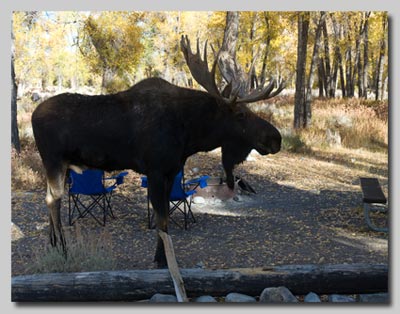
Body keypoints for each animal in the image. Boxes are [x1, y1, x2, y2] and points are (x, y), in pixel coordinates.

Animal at [31, 36, 282, 268]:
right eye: (241, 114)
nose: (276, 139)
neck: (190, 134)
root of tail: (33, 115)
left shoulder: (171, 172)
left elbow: (167, 217)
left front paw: (161, 255)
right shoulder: (155, 170)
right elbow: (161, 219)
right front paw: (162, 260)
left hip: (60, 165)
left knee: (49, 198)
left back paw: (53, 244)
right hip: (53, 160)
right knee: (54, 199)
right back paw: (63, 249)